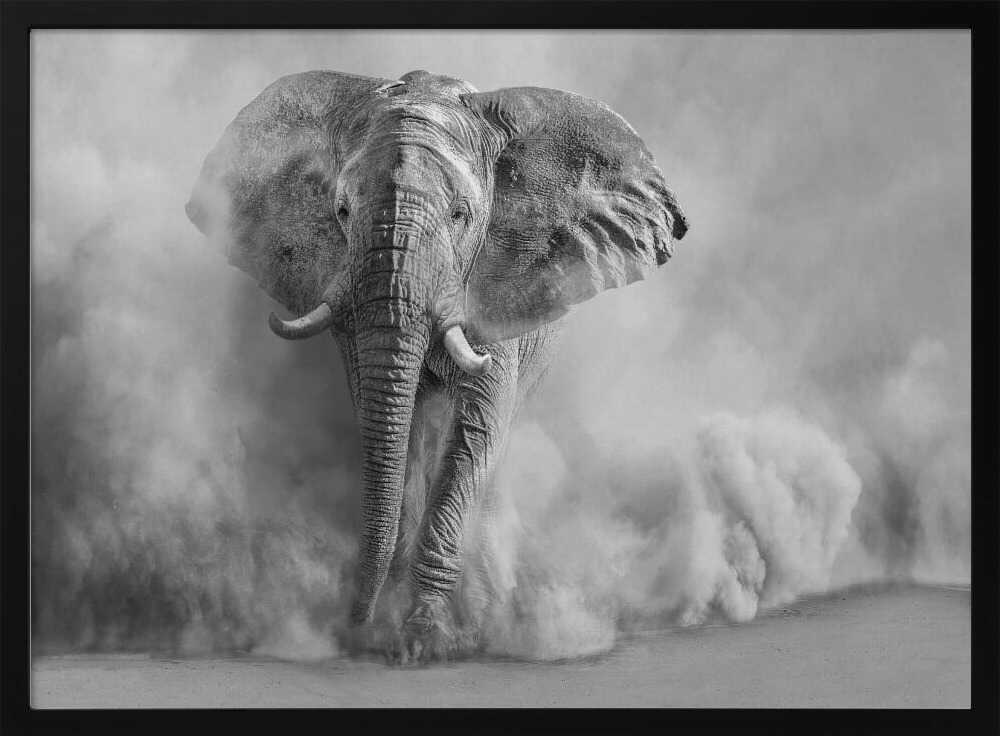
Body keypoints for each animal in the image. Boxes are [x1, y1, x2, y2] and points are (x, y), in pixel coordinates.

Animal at [186, 69, 688, 663]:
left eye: (460, 216)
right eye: (341, 211)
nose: (353, 626)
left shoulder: (491, 291)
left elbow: (474, 433)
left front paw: (421, 640)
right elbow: (393, 430)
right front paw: (390, 632)